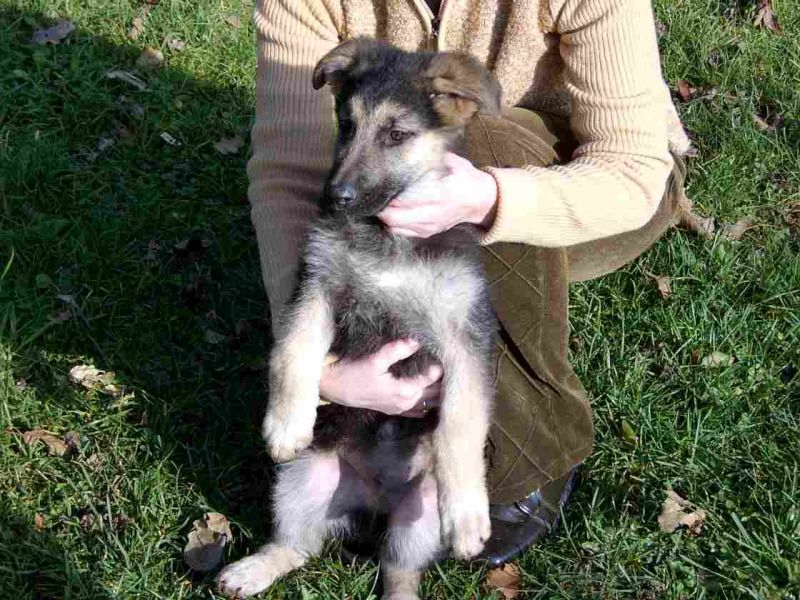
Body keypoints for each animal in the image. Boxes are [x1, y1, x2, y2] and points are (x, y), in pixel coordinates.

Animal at [217, 38, 501, 600]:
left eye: (397, 135)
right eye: (346, 124)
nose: (334, 198)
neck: (386, 236)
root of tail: (375, 504)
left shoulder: (466, 338)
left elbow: (460, 423)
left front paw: (467, 517)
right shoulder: (316, 286)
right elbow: (292, 350)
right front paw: (286, 420)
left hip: (417, 514)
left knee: (399, 570)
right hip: (303, 481)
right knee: (297, 547)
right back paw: (250, 570)